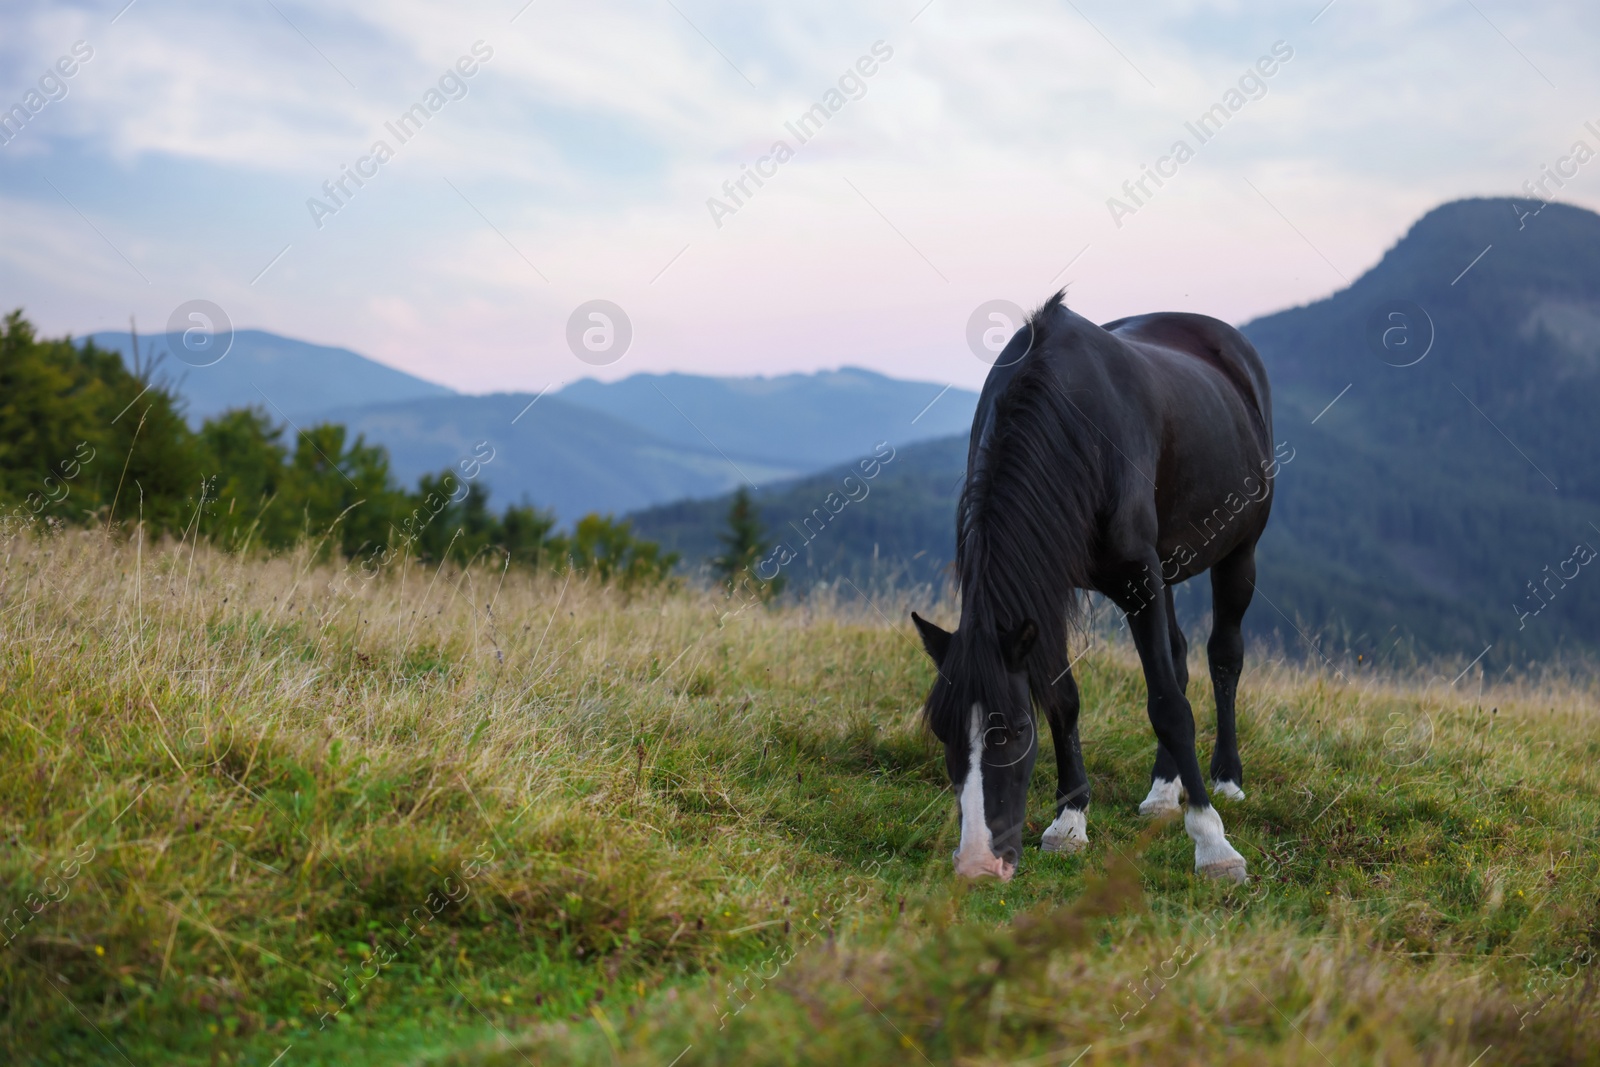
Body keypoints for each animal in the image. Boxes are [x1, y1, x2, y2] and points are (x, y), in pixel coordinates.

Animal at [915, 292, 1273, 883]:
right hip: (1164, 566)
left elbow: (1169, 707)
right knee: (1178, 657)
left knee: (1223, 657)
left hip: (1237, 553)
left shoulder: (1136, 574)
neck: (1069, 420)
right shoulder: (1050, 583)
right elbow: (1065, 700)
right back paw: (1162, 792)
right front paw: (1069, 822)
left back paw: (1226, 778)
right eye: (943, 731)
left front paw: (1213, 843)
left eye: (1015, 730)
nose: (978, 864)